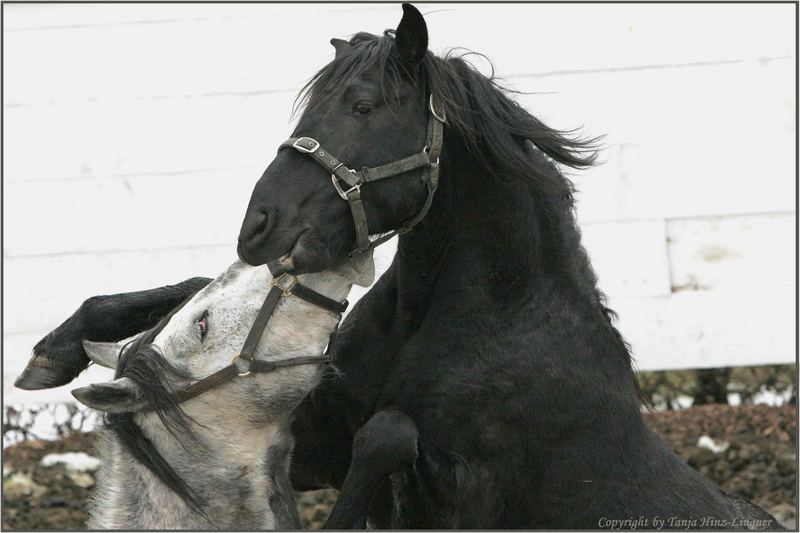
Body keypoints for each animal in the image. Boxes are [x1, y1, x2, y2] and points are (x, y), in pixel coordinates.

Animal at [17, 4, 780, 528]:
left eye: (363, 106)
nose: (256, 229)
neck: (483, 319)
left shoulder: (459, 491)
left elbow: (391, 433)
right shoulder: (309, 441)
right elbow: (184, 291)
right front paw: (55, 353)